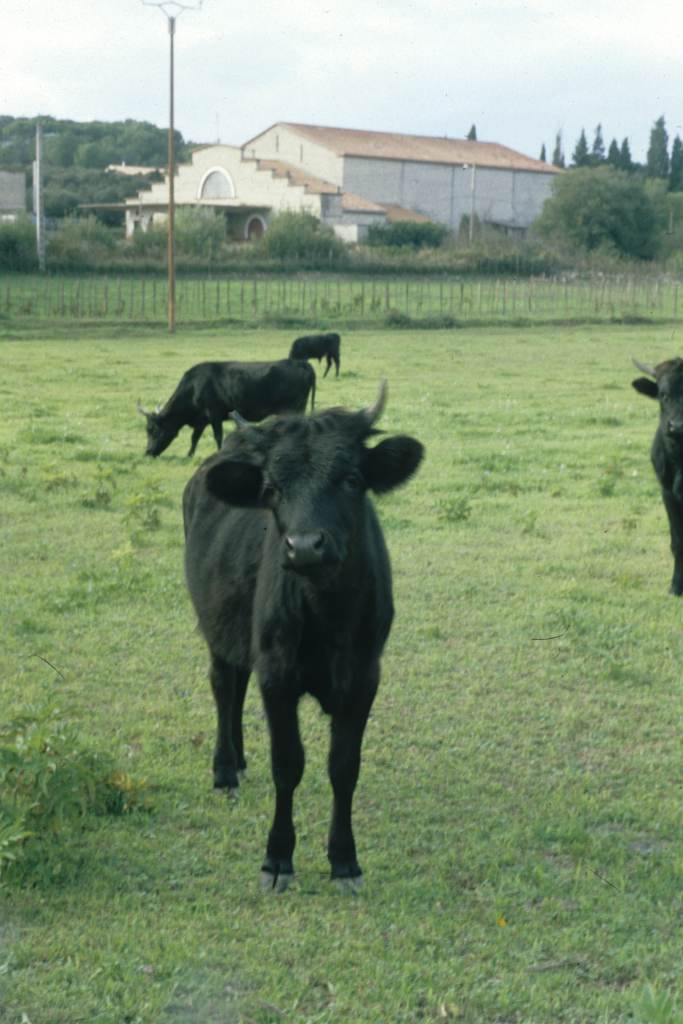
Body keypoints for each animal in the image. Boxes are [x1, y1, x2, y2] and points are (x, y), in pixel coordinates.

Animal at [137, 360, 317, 456]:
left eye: (153, 430)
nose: (148, 452)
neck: (194, 387)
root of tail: (301, 362)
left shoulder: (214, 414)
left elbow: (218, 436)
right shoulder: (202, 420)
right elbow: (194, 438)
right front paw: (189, 455)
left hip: (294, 408)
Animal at [184, 385, 423, 888]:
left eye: (351, 479)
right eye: (272, 489)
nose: (306, 546)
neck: (326, 614)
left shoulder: (364, 678)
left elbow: (344, 767)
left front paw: (344, 859)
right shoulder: (277, 676)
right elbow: (288, 764)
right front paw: (277, 858)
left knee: (236, 686)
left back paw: (239, 761)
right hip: (214, 627)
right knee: (223, 686)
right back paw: (225, 769)